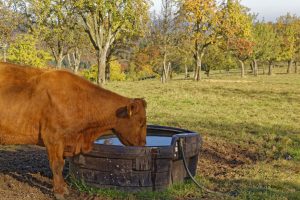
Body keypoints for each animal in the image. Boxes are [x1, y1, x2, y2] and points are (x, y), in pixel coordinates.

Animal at [0, 62, 146, 198]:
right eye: (141, 122)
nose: (144, 144)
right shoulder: (53, 137)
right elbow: (57, 164)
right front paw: (59, 192)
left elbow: (62, 163)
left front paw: (64, 187)